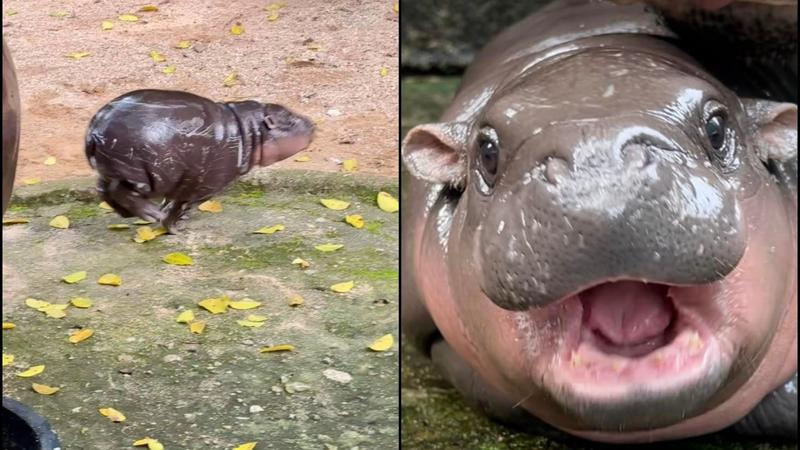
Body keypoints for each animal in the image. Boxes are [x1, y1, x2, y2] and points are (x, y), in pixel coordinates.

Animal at [86, 90, 314, 234]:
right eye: (291, 120)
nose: (312, 123)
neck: (249, 130)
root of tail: (96, 127)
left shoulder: (183, 183)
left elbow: (172, 203)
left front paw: (175, 219)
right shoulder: (204, 187)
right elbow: (179, 207)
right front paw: (175, 228)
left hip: (113, 169)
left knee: (103, 189)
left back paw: (130, 215)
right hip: (141, 175)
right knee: (119, 191)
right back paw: (150, 214)